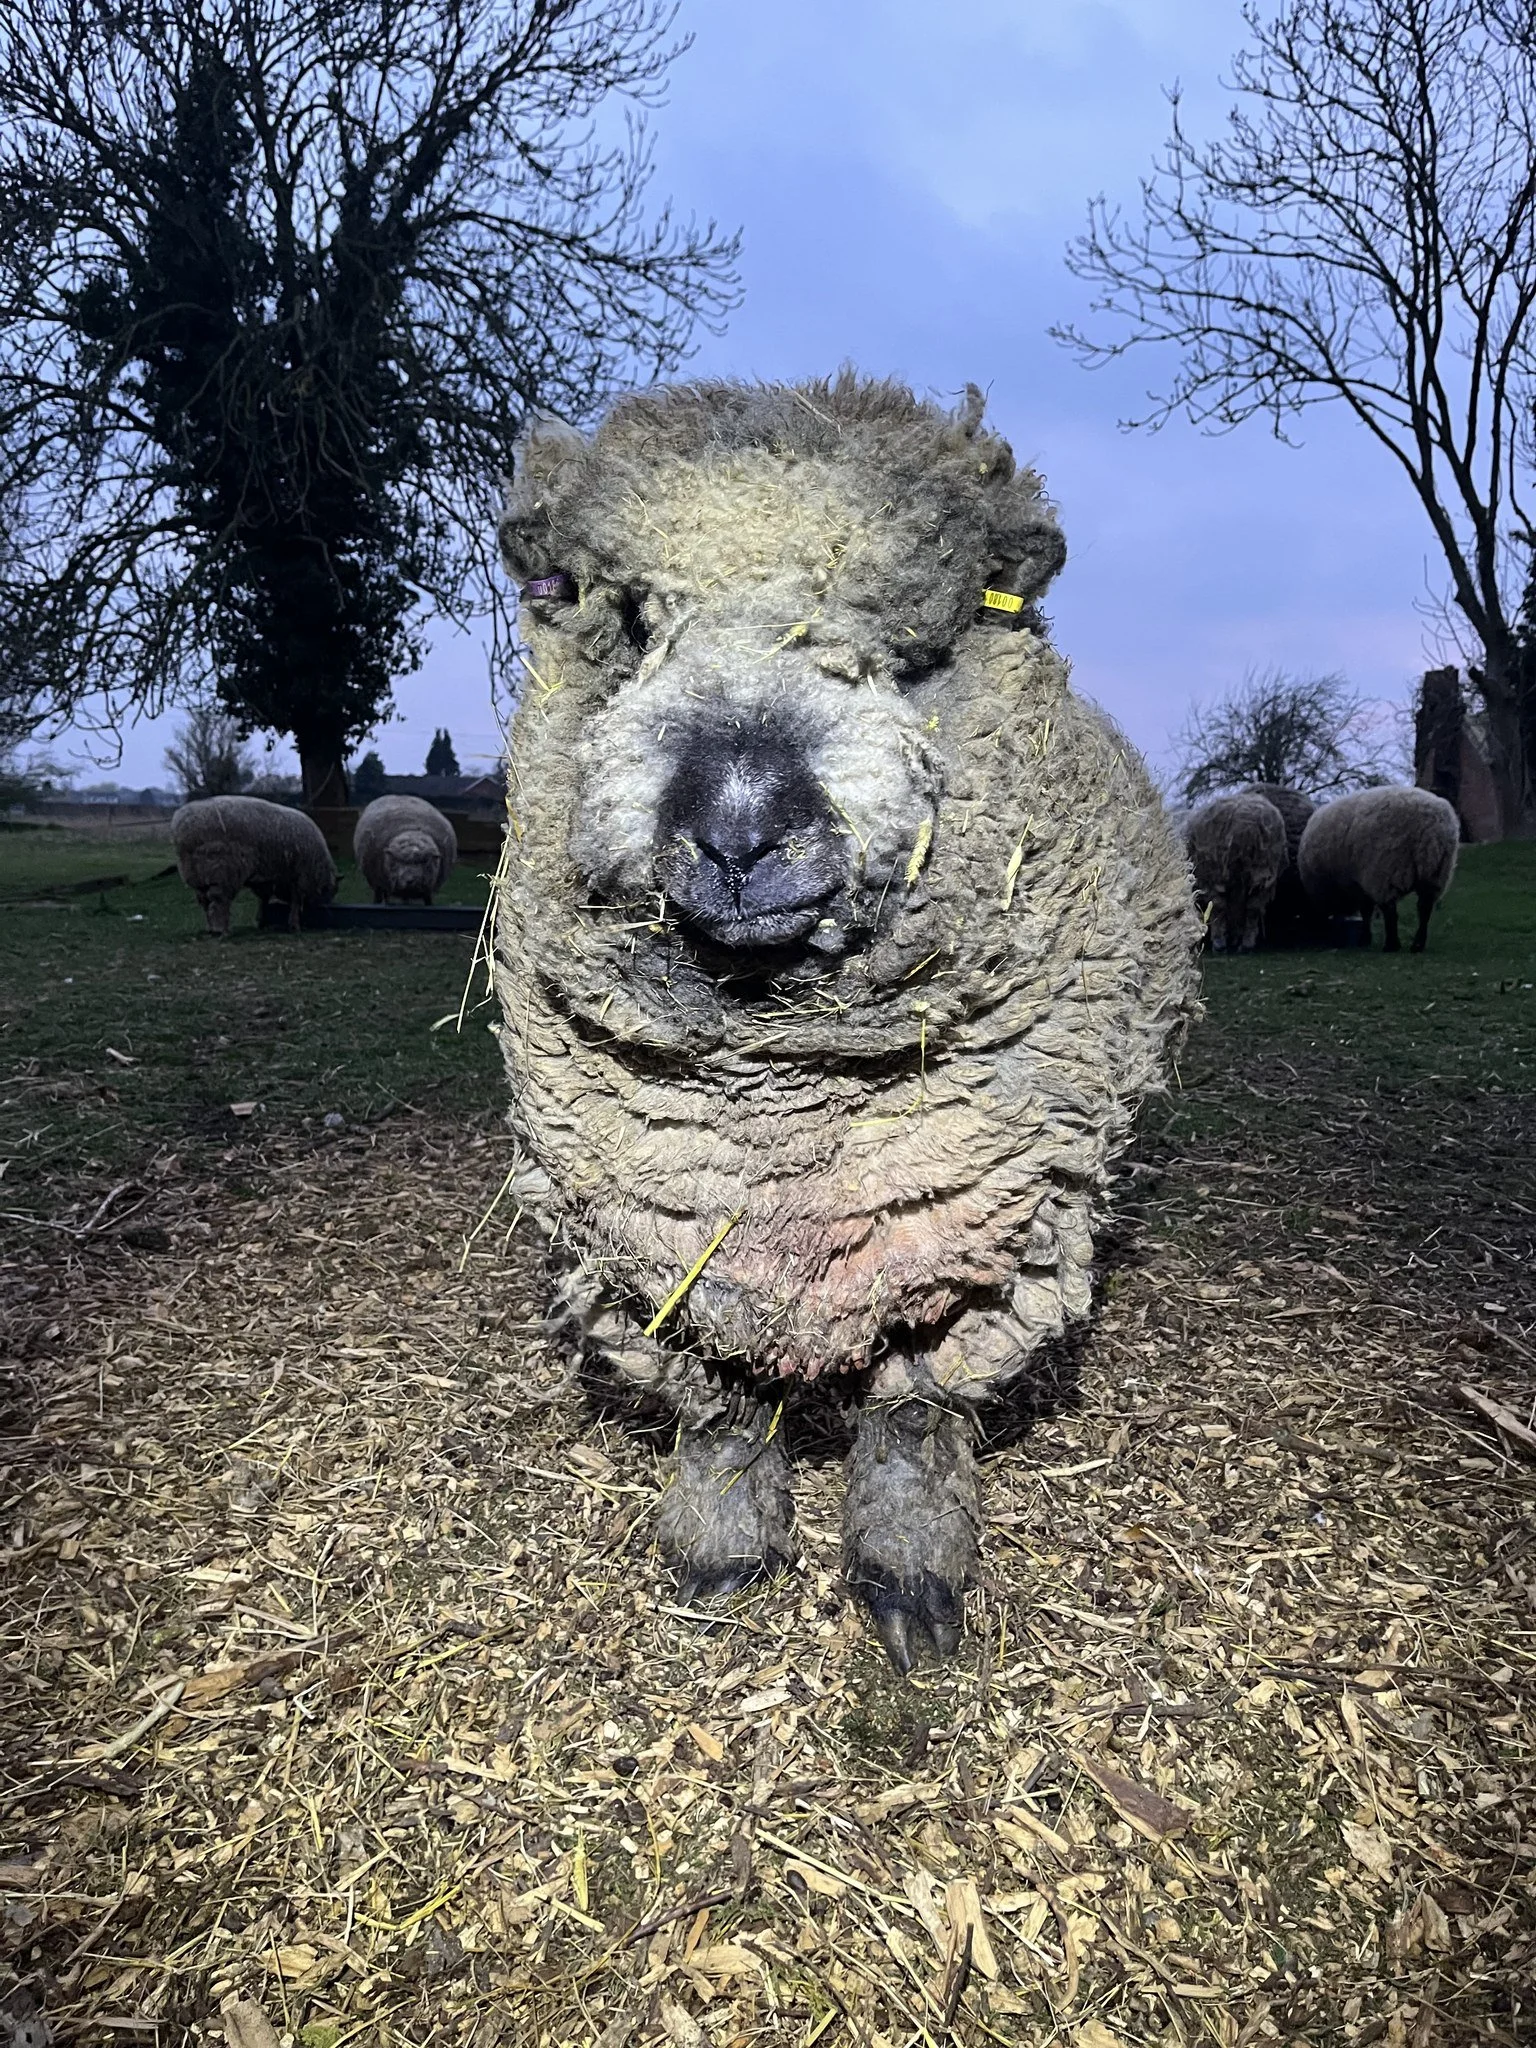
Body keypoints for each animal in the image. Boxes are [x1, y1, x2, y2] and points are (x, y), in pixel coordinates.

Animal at [171, 795, 337, 936]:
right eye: (330, 893)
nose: (325, 907)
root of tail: (183, 827)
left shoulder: (266, 879)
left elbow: (263, 900)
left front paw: (261, 921)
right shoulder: (299, 877)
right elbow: (295, 902)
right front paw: (294, 925)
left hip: (197, 874)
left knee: (204, 901)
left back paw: (211, 929)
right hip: (221, 871)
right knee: (220, 900)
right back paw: (224, 930)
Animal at [492, 374, 1203, 1671]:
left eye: (913, 648)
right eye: (628, 618)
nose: (738, 822)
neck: (780, 1101)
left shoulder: (976, 1241)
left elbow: (912, 1415)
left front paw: (911, 1571)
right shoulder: (659, 1240)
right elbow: (723, 1409)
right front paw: (719, 1548)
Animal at [1182, 792, 1288, 952]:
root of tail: (1246, 826)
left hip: (1215, 875)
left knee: (1219, 906)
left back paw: (1220, 943)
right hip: (1262, 873)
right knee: (1253, 908)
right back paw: (1246, 944)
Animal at [1298, 785, 1459, 951]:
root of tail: (1431, 823)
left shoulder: (1357, 882)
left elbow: (1366, 911)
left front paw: (1364, 939)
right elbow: (1366, 911)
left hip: (1387, 869)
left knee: (1390, 911)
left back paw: (1392, 945)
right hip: (1435, 872)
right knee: (1424, 908)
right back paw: (1417, 945)